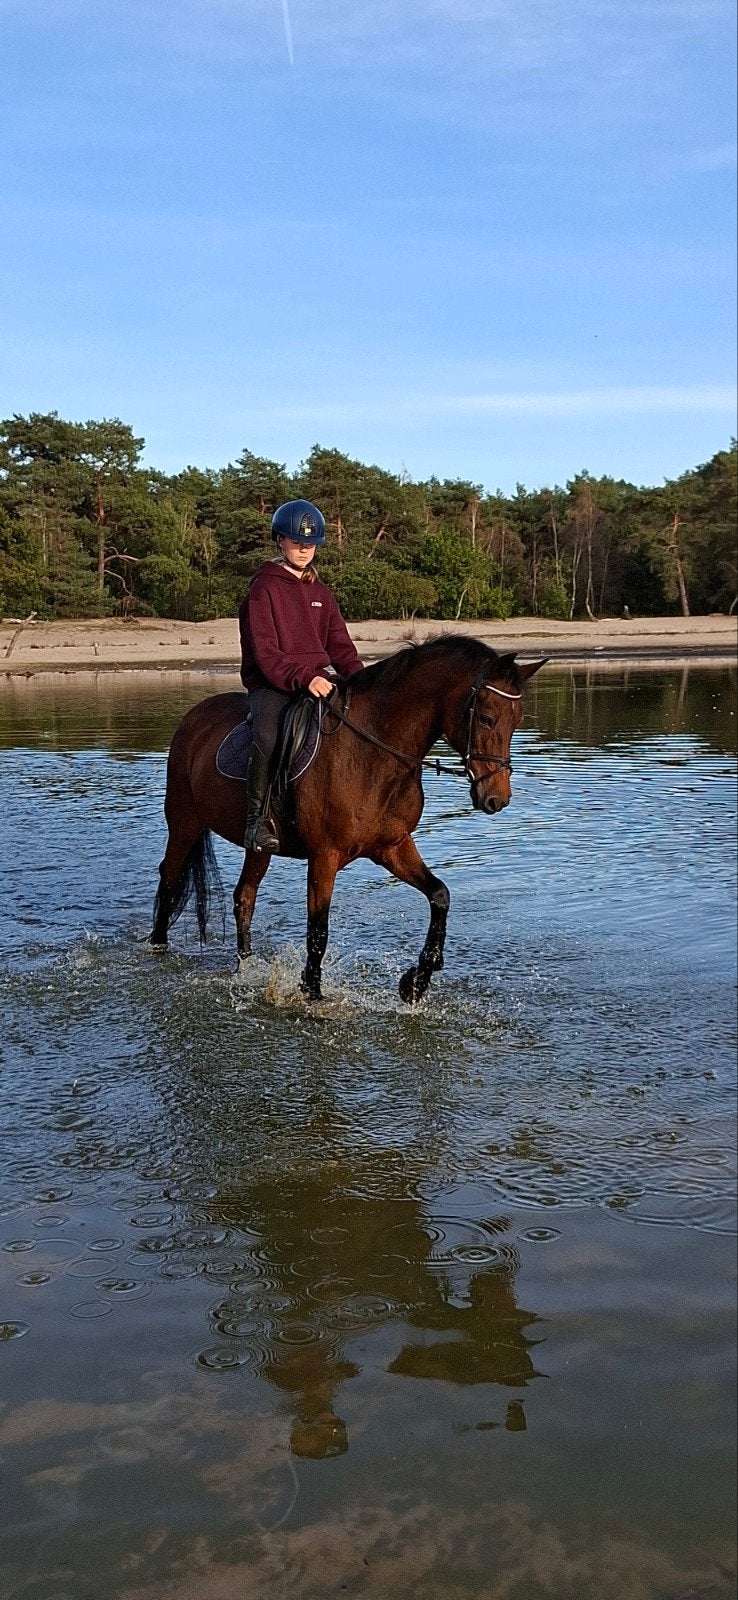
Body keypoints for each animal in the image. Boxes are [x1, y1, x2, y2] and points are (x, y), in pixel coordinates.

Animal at [150, 636, 545, 1002]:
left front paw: (417, 980)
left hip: (259, 846)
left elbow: (439, 895)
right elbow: (318, 931)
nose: (496, 798)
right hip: (184, 823)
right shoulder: (324, 857)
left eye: (518, 721)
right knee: (169, 880)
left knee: (243, 897)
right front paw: (312, 995)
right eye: (486, 718)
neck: (373, 754)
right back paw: (157, 947)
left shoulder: (392, 847)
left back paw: (246, 967)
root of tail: (194, 716)